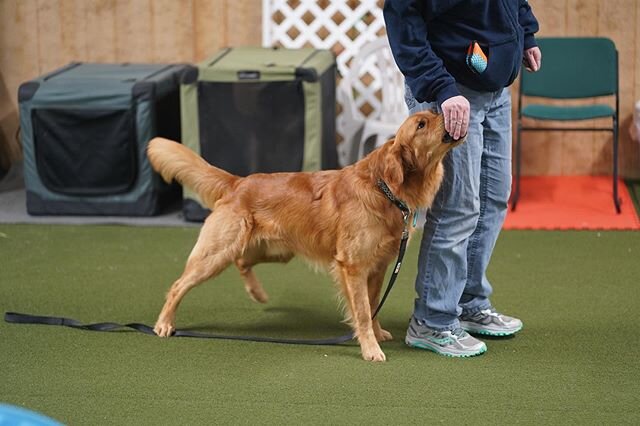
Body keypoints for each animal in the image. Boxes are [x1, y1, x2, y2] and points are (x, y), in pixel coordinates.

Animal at [148, 109, 462, 360]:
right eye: (421, 124)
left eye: (430, 115)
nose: (447, 110)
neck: (382, 187)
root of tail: (238, 182)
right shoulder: (353, 266)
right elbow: (362, 310)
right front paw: (370, 348)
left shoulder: (378, 268)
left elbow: (373, 305)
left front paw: (376, 332)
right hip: (216, 254)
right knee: (178, 285)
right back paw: (164, 323)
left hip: (274, 251)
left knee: (242, 262)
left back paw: (257, 293)